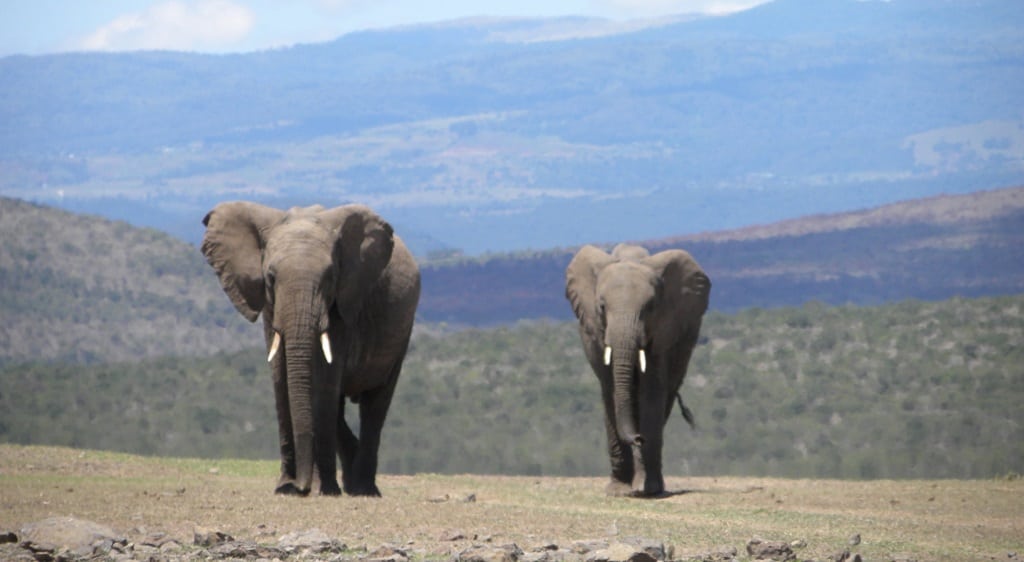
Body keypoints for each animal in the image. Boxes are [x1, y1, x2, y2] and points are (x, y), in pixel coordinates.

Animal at [203, 200, 419, 495]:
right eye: (270, 277)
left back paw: (363, 489)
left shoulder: (343, 305)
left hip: (401, 332)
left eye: (329, 277)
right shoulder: (272, 308)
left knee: (375, 403)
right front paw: (285, 487)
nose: (301, 487)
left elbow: (326, 381)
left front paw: (322, 489)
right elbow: (281, 376)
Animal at [565, 240, 708, 495]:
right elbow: (610, 389)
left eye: (650, 307)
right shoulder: (595, 333)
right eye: (602, 307)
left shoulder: (663, 329)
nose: (638, 438)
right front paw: (618, 490)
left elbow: (651, 391)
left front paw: (649, 490)